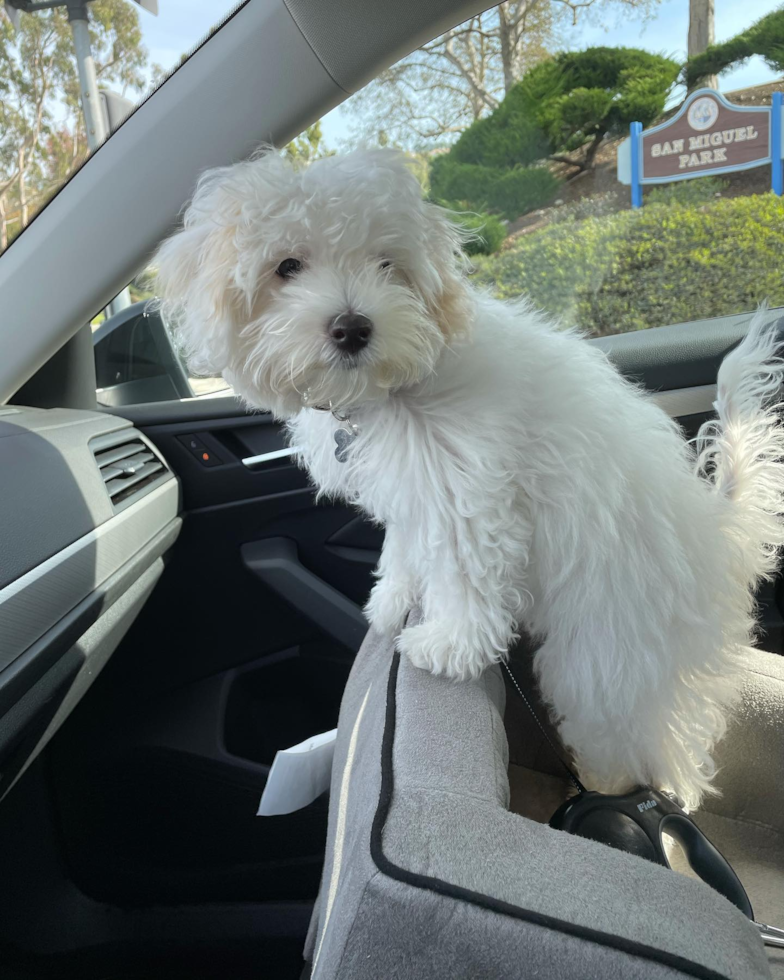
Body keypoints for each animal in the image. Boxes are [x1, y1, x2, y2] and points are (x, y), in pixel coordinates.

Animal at [156, 145, 784, 804]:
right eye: (287, 266)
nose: (353, 327)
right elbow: (408, 545)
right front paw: (393, 597)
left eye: (388, 264)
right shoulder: (413, 488)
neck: (392, 390)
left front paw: (449, 646)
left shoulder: (464, 485)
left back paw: (620, 787)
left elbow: (464, 568)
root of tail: (720, 532)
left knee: (652, 738)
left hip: (609, 657)